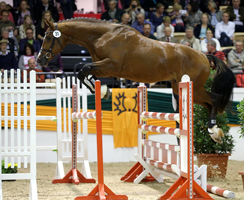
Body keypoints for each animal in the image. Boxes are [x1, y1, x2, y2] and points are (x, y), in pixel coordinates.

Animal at [37, 18, 234, 143]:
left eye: (48, 37)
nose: (40, 60)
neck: (104, 36)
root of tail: (204, 55)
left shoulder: (112, 66)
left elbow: (83, 69)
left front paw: (103, 91)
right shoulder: (103, 66)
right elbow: (83, 72)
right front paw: (103, 91)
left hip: (194, 87)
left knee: (215, 99)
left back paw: (213, 130)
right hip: (179, 87)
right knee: (209, 104)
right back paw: (213, 132)